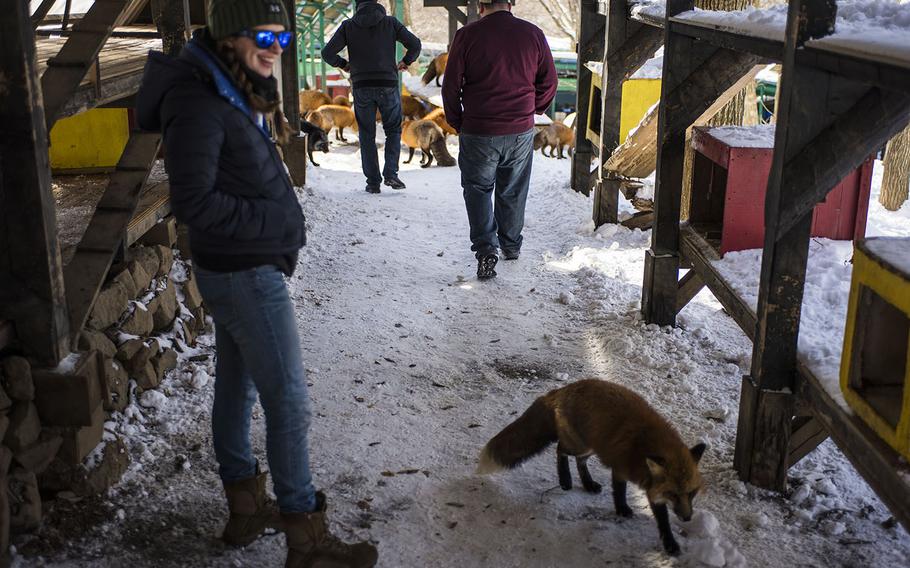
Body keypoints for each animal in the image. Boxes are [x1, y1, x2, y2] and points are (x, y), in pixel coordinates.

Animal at [480, 378, 708, 556]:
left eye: (691, 493)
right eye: (673, 494)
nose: (687, 518)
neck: (646, 444)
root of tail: (561, 390)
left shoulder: (651, 487)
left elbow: (663, 520)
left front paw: (669, 543)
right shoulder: (621, 468)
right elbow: (620, 492)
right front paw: (622, 510)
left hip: (592, 446)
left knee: (579, 462)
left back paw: (588, 484)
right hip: (580, 445)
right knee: (560, 449)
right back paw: (565, 480)